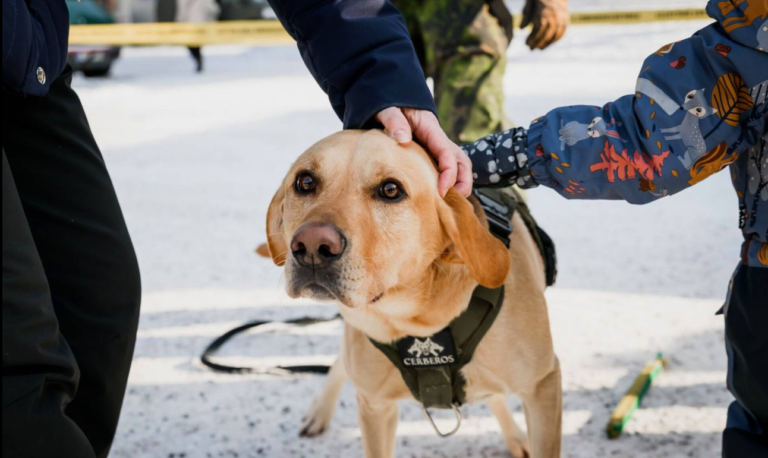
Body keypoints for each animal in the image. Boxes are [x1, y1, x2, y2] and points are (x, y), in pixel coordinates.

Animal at [262, 130, 560, 458]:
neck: (414, 320)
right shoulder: (375, 408)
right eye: (305, 182)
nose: (313, 246)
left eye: (391, 190)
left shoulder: (543, 385)